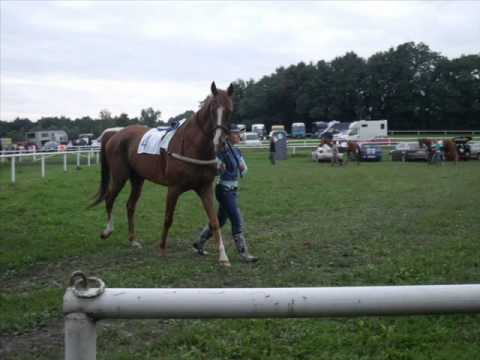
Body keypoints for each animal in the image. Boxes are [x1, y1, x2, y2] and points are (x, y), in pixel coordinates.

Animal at [91, 83, 234, 266]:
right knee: (109, 199)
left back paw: (132, 240)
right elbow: (168, 219)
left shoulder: (205, 188)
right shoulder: (173, 189)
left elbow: (214, 222)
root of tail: (116, 134)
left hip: (137, 180)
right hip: (119, 177)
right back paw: (107, 231)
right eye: (212, 110)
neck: (191, 146)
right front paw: (162, 249)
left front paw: (223, 257)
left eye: (230, 110)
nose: (220, 141)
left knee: (130, 206)